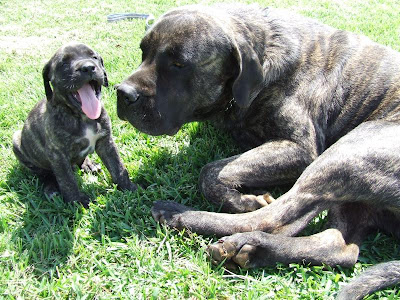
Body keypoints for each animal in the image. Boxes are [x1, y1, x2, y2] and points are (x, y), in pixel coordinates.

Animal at [14, 42, 137, 206]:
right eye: (64, 63)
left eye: (94, 57)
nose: (88, 67)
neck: (82, 117)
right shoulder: (58, 156)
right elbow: (67, 181)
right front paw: (77, 202)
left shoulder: (106, 142)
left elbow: (117, 166)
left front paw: (129, 187)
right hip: (17, 142)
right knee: (44, 174)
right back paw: (51, 187)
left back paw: (89, 165)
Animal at [117, 4, 400, 300]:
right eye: (143, 52)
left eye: (179, 64)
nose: (122, 93)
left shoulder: (299, 148)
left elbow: (211, 171)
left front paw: (242, 199)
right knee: (336, 247)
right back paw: (255, 250)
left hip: (345, 152)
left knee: (268, 218)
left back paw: (180, 215)